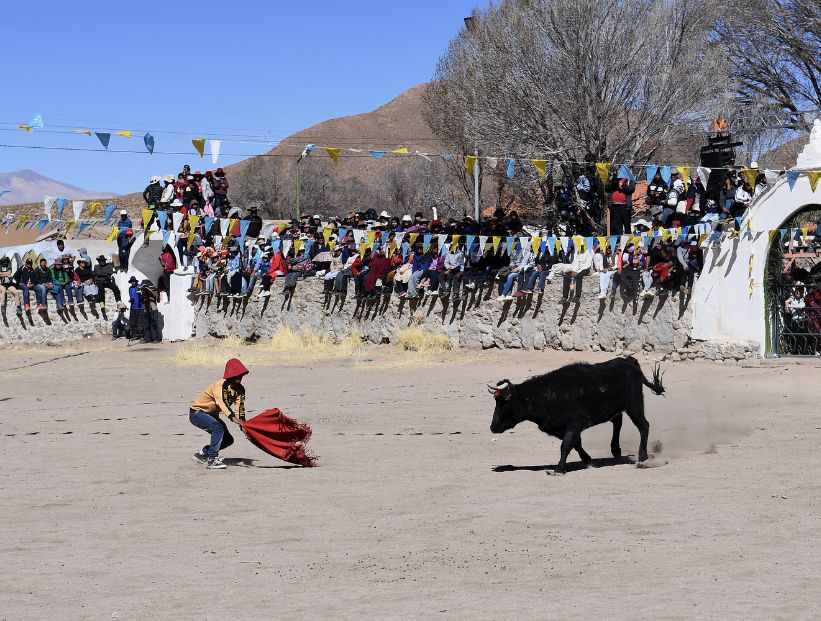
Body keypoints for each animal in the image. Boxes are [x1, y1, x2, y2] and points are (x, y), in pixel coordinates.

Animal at [490, 356, 664, 472]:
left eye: (503, 402)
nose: (492, 427)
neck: (545, 395)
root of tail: (628, 361)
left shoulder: (575, 424)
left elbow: (566, 445)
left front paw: (559, 469)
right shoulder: (562, 428)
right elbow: (576, 443)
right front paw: (588, 460)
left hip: (634, 404)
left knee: (643, 426)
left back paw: (642, 458)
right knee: (618, 422)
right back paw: (616, 451)